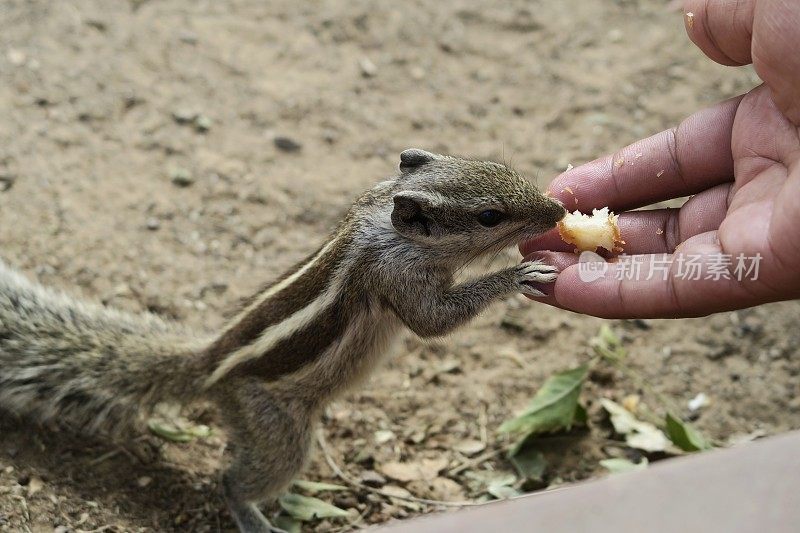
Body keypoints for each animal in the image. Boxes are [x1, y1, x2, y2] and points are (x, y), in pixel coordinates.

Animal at [0, 149, 564, 532]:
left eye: (499, 165)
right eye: (489, 216)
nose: (557, 210)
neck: (388, 222)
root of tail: (212, 364)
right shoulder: (399, 277)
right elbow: (434, 323)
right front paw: (514, 275)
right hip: (275, 430)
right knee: (234, 480)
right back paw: (253, 516)